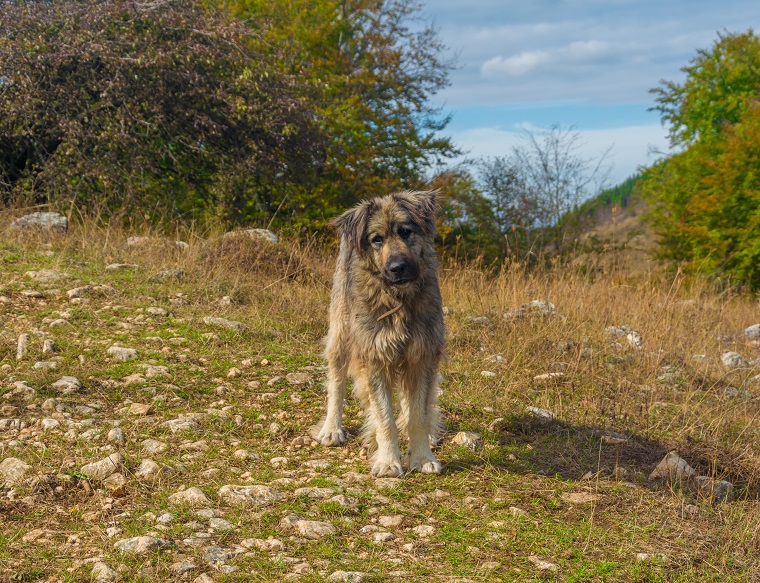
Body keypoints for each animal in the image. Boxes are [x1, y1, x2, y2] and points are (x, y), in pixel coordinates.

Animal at [312, 192, 446, 480]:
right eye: (377, 239)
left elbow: (418, 413)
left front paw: (422, 456)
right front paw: (388, 460)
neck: (399, 299)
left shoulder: (423, 355)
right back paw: (332, 428)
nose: (398, 268)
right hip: (341, 333)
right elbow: (384, 417)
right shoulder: (374, 358)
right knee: (336, 382)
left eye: (405, 232)